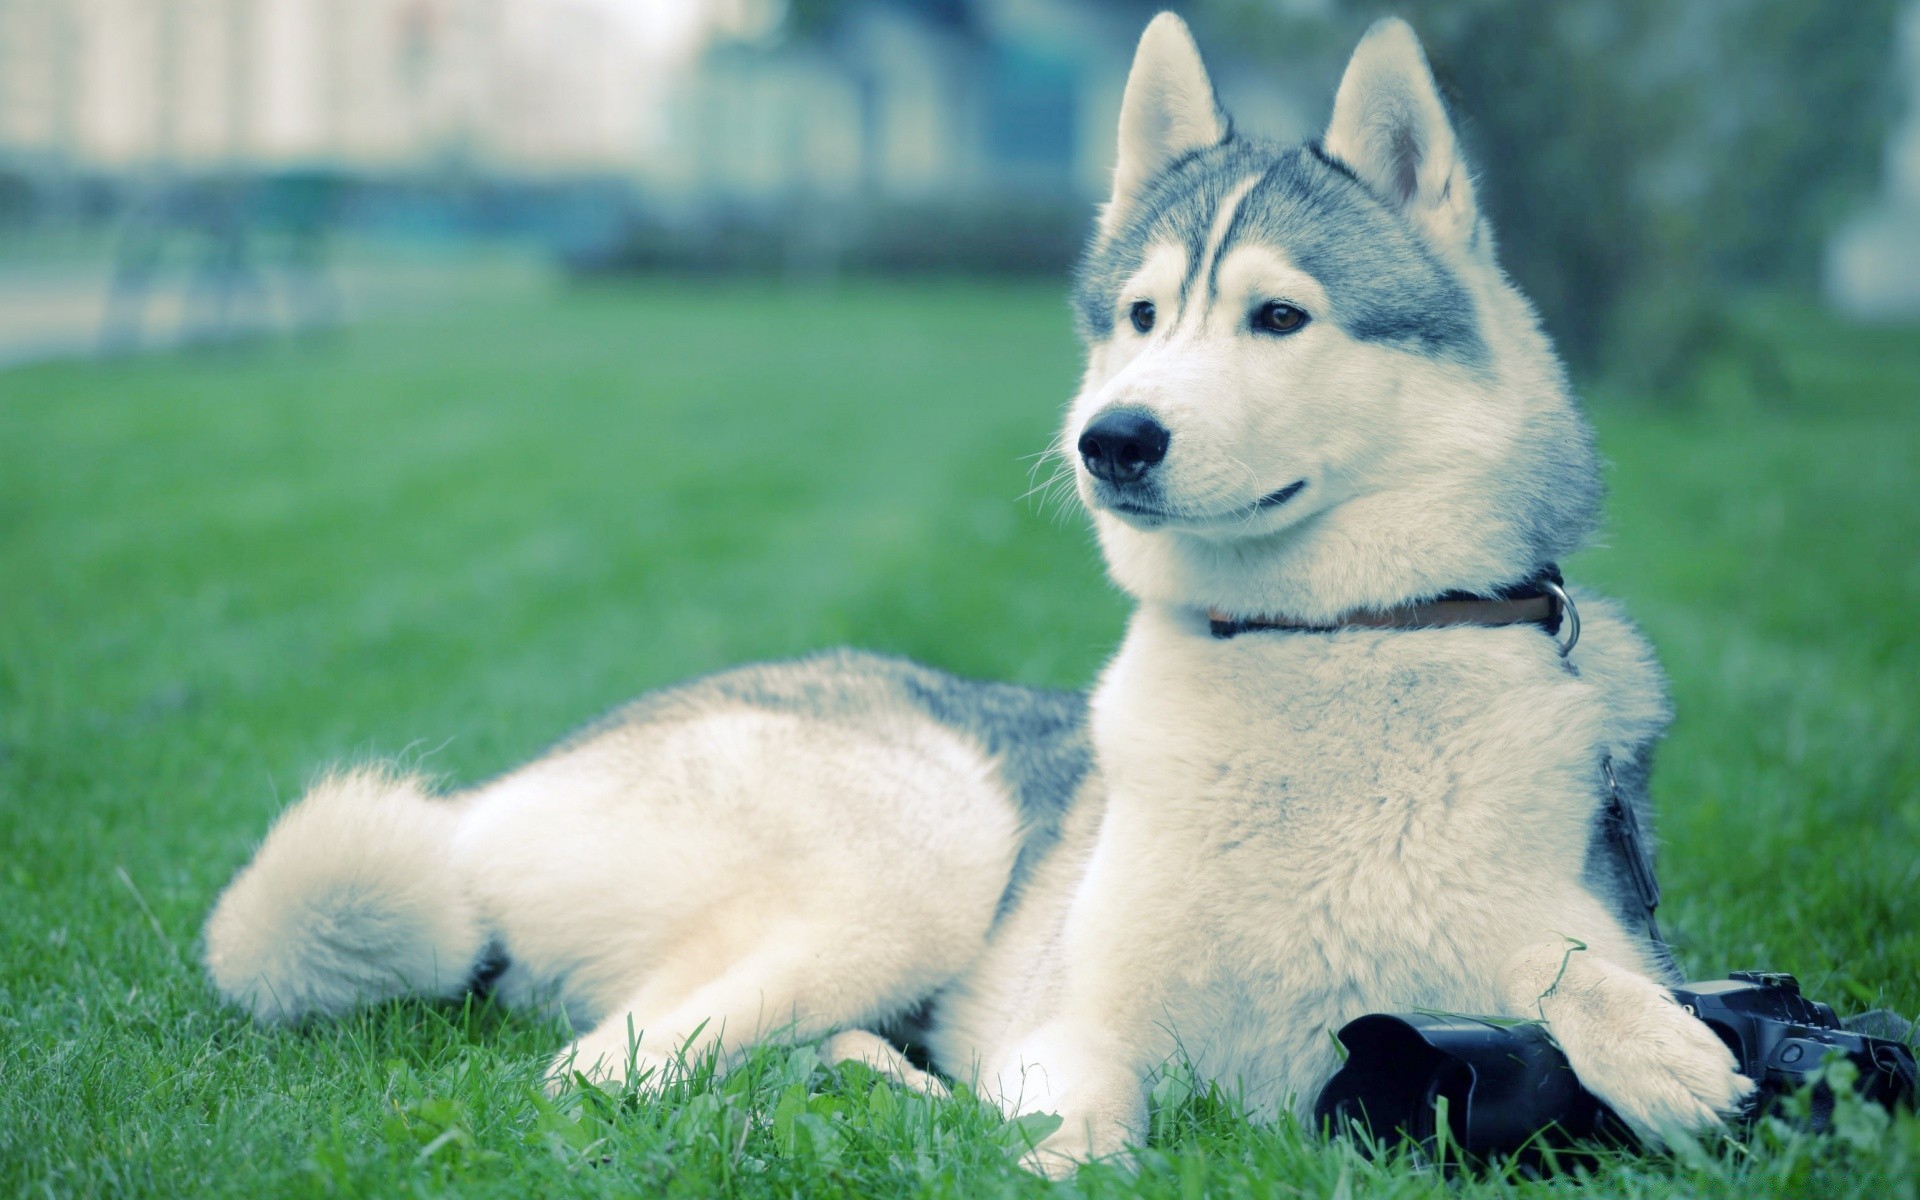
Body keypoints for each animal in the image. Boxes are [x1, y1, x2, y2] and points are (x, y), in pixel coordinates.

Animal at [206, 9, 1758, 1167]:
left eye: (1279, 316)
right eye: (1141, 316)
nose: (1112, 437)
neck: (1318, 648)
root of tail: (488, 805)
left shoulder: (1560, 916)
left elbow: (1572, 958)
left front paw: (1652, 1042)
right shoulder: (1074, 1030)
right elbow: (1092, 1138)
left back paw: (864, 1084)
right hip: (925, 845)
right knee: (600, 1076)